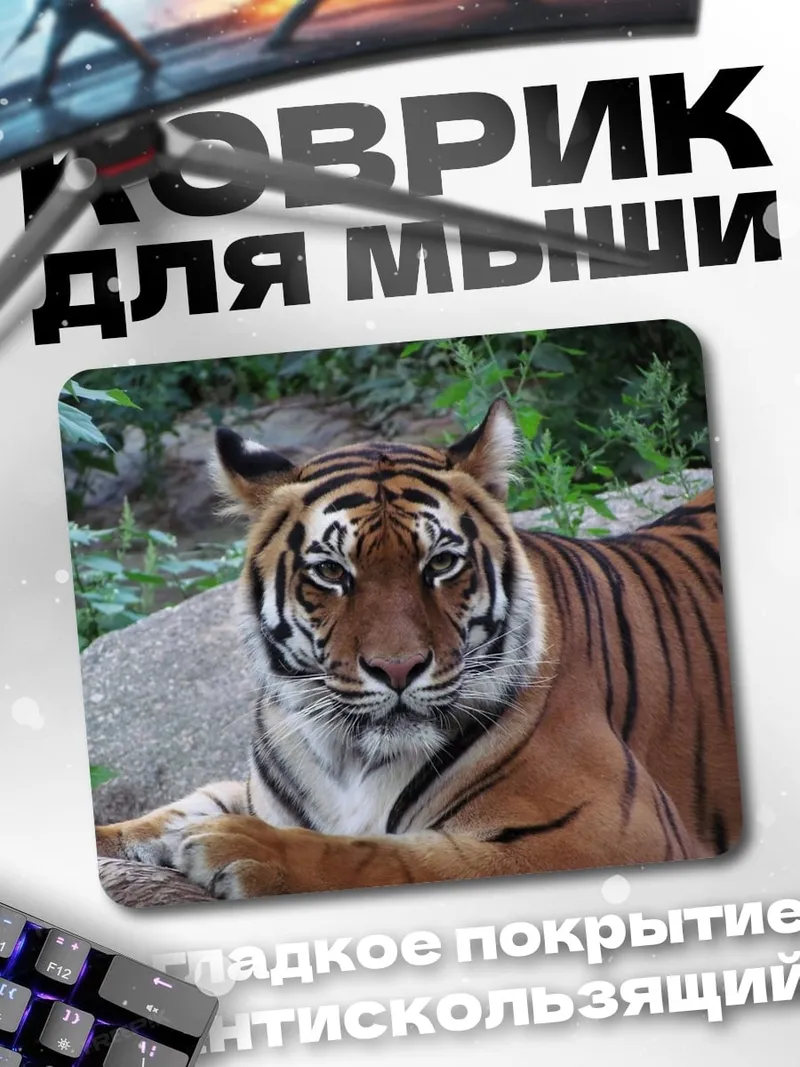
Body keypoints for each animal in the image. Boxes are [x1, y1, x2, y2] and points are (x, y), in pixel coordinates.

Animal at [95, 398, 741, 900]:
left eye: (442, 563)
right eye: (331, 572)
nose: (398, 668)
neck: (349, 758)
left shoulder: (606, 832)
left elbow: (386, 855)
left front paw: (244, 851)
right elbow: (176, 810)